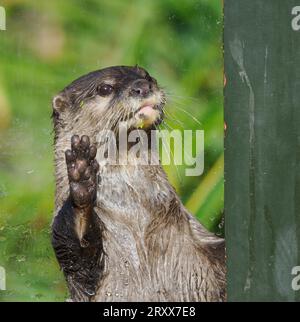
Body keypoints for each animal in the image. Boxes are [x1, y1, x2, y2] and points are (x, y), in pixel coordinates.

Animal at [51, 65, 225, 302]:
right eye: (105, 88)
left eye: (147, 76)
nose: (142, 86)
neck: (135, 217)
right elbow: (73, 248)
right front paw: (82, 176)